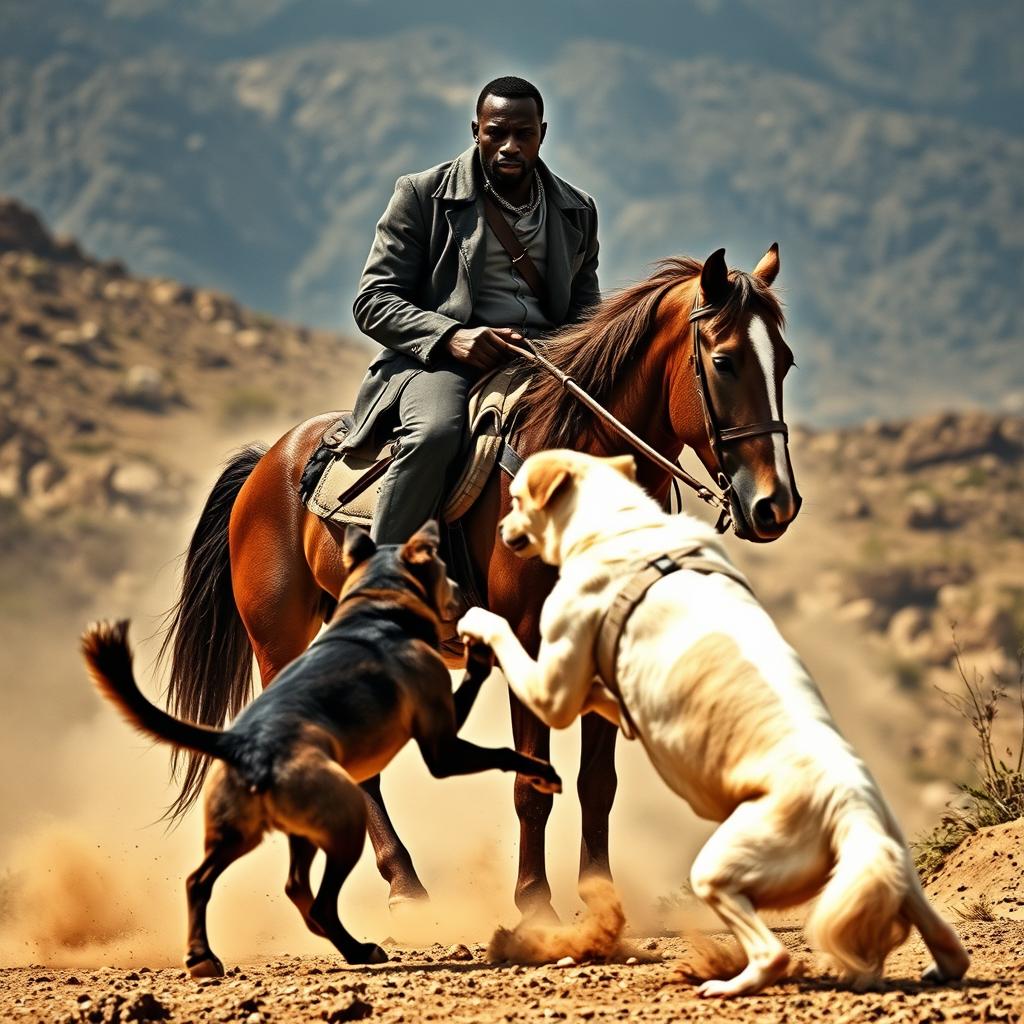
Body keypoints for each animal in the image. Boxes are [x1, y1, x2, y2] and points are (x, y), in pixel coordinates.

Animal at [81, 524, 561, 978]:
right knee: (319, 896)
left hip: (250, 833)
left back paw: (210, 956)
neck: (377, 612)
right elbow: (512, 761)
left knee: (228, 883)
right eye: (441, 570)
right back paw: (375, 933)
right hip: (334, 811)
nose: (464, 597)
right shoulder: (445, 744)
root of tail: (243, 746)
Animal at [161, 245, 798, 921]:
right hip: (278, 647)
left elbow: (597, 782)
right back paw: (405, 888)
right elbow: (532, 783)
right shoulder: (525, 639)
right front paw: (536, 904)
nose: (775, 505)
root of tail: (266, 462)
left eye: (783, 362)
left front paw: (600, 899)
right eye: (724, 362)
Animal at [460, 448, 970, 991]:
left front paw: (477, 622)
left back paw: (727, 983)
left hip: (721, 869)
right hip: (899, 875)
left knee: (772, 954)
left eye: (517, 497)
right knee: (948, 945)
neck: (624, 526)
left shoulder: (551, 686)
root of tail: (851, 811)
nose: (503, 529)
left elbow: (514, 651)